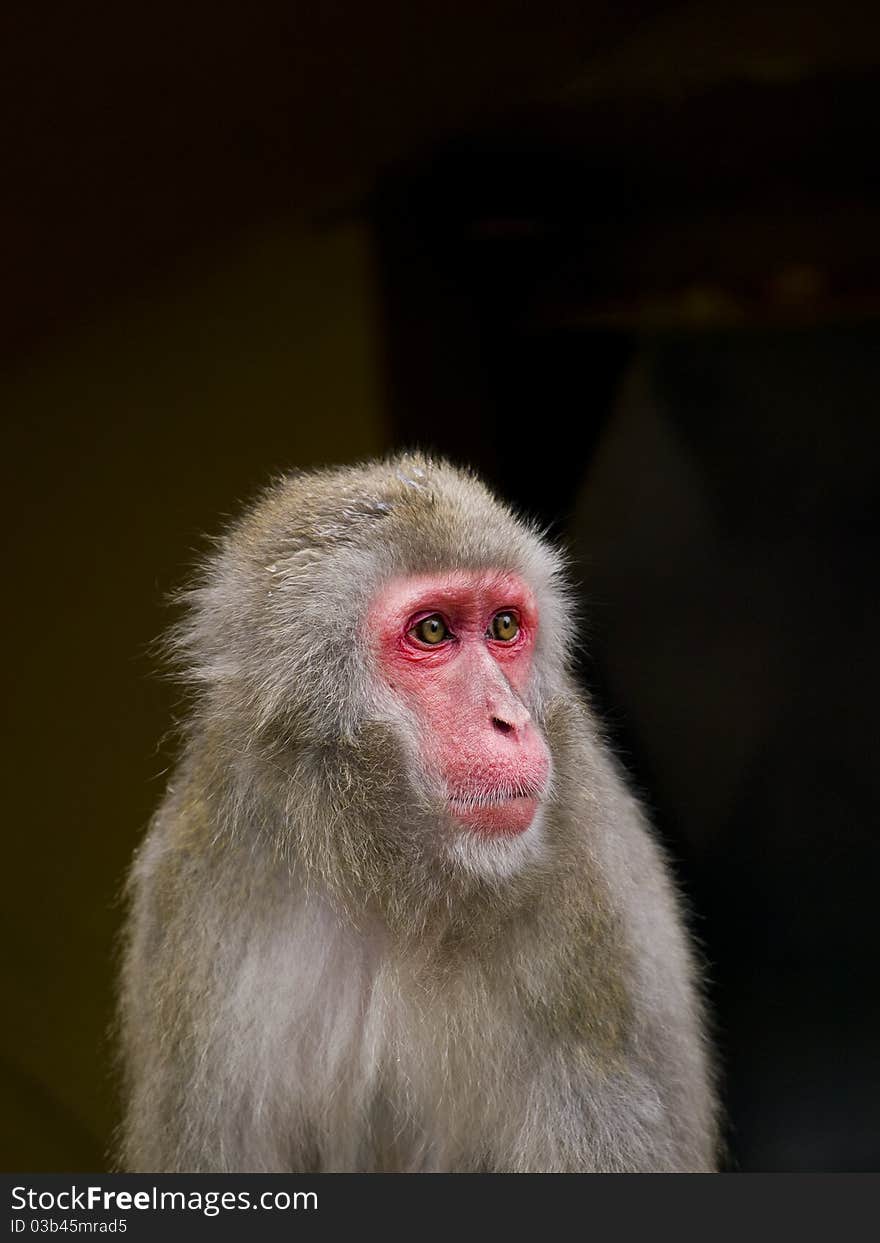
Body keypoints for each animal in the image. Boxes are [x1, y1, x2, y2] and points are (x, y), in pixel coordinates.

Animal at [116, 452, 720, 1168]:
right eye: (432, 630)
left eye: (504, 626)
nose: (509, 720)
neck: (388, 878)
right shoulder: (196, 884)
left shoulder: (597, 914)